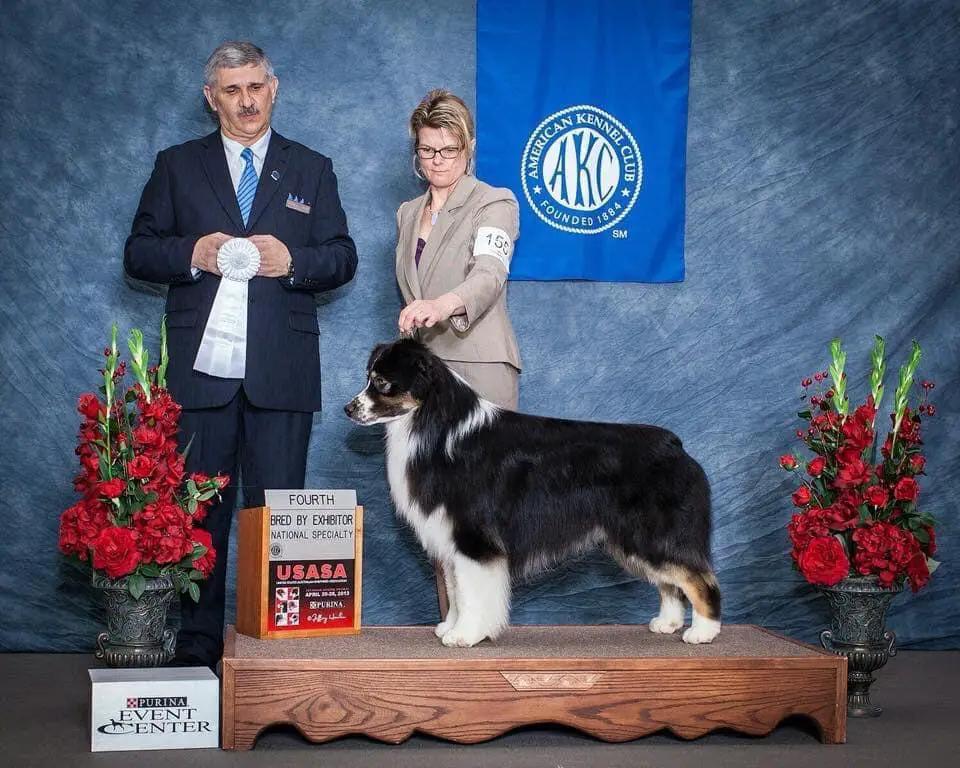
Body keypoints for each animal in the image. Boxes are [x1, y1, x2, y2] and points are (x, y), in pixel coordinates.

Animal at [344, 342, 720, 648]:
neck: (435, 426)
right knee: (671, 583)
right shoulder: (450, 541)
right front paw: (450, 627)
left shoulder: (473, 539)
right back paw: (667, 624)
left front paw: (465, 635)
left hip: (655, 533)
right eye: (368, 377)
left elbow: (471, 593)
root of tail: (675, 445)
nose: (348, 408)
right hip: (636, 541)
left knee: (699, 580)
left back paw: (703, 632)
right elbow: (454, 590)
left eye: (381, 382)